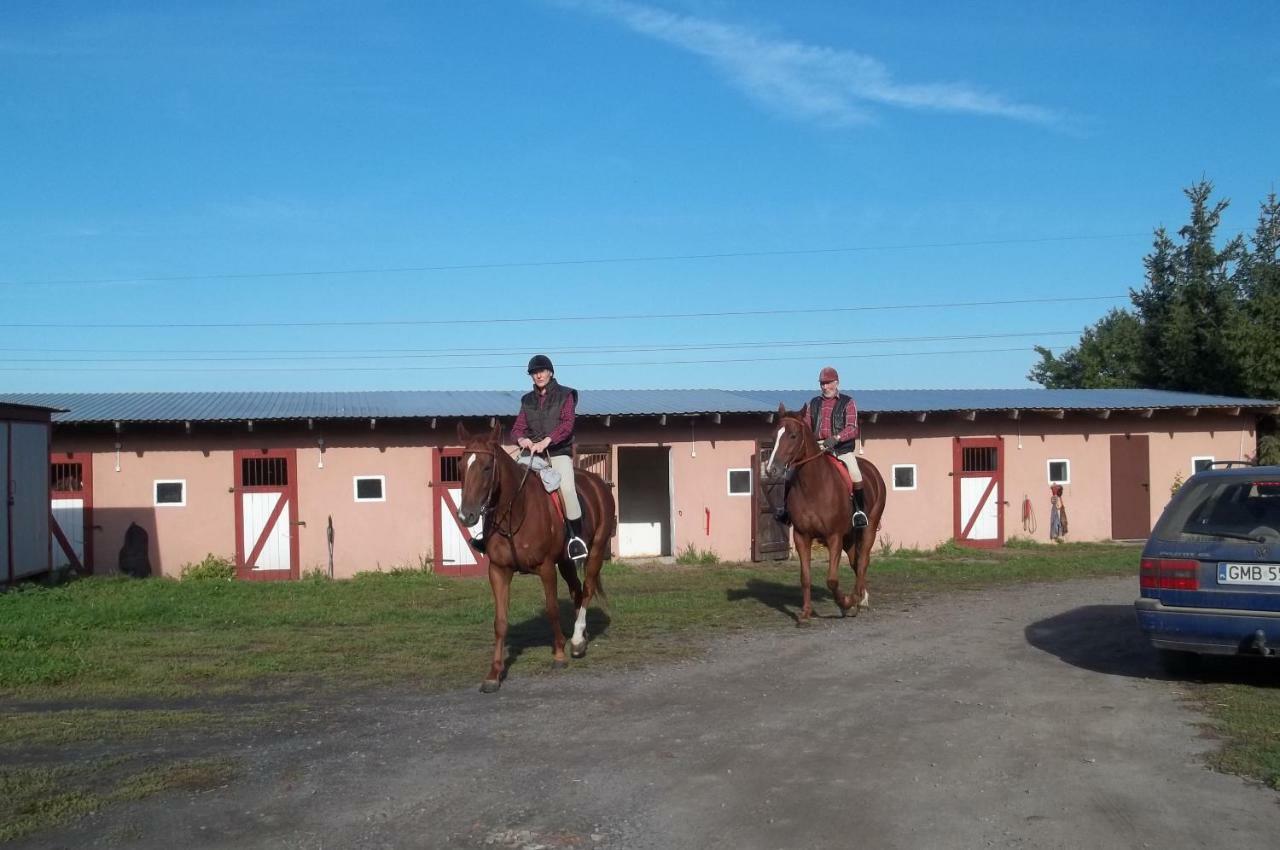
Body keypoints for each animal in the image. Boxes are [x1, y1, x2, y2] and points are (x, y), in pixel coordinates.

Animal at [455, 422, 614, 696]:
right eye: (461, 466)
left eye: (487, 467)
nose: (466, 516)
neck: (516, 510)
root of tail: (597, 482)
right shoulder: (498, 571)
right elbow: (500, 622)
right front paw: (494, 675)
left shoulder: (546, 567)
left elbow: (551, 610)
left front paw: (559, 654)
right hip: (566, 561)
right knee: (577, 590)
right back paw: (580, 639)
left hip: (594, 552)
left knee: (587, 589)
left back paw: (575, 641)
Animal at [762, 404, 885, 624]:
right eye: (775, 435)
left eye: (793, 436)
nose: (771, 470)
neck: (814, 487)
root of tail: (873, 471)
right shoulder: (801, 536)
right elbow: (805, 577)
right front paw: (805, 614)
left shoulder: (833, 536)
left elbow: (832, 580)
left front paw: (845, 602)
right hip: (849, 536)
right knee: (855, 561)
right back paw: (859, 599)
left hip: (868, 529)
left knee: (863, 561)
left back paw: (858, 600)